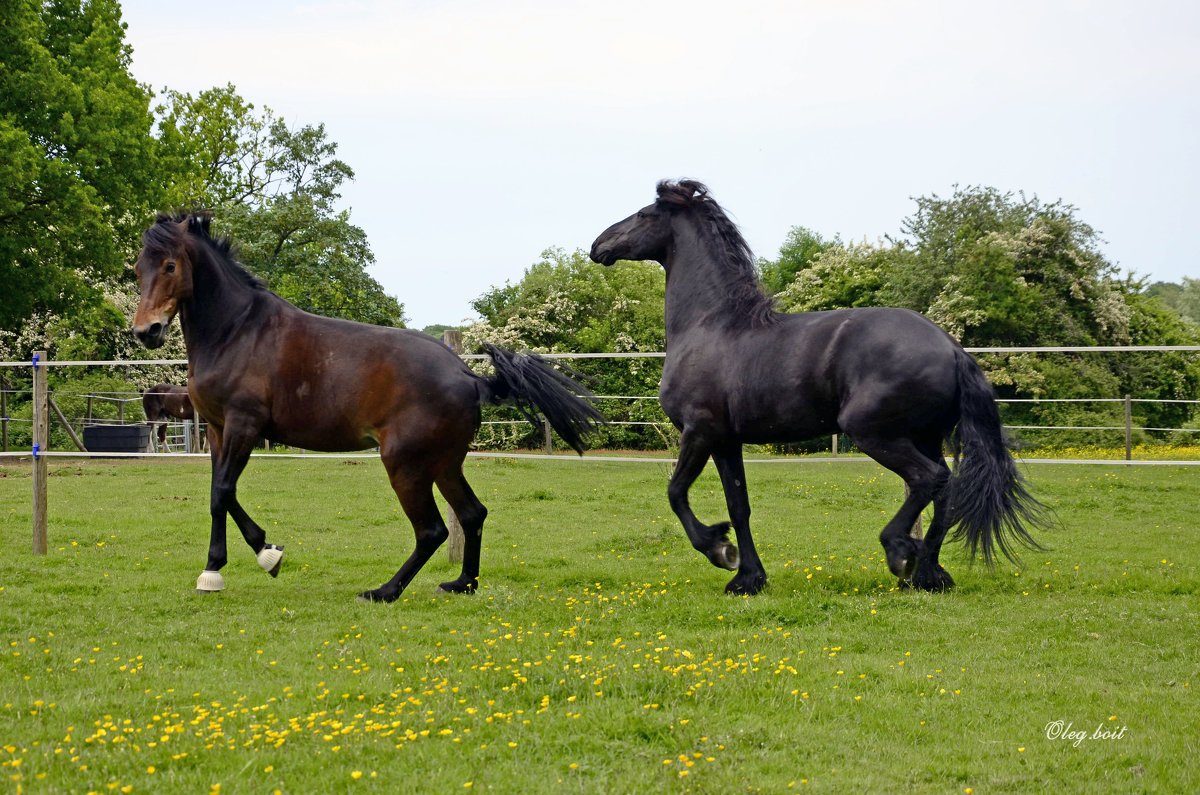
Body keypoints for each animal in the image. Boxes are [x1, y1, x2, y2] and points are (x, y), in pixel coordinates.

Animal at [590, 178, 1051, 590]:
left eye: (644, 214)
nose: (598, 245)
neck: (711, 325)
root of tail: (952, 349)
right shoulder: (726, 441)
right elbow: (739, 507)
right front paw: (748, 578)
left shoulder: (699, 431)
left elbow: (675, 492)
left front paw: (720, 551)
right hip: (926, 436)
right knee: (945, 489)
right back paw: (929, 574)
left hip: (873, 432)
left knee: (930, 479)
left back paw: (901, 554)